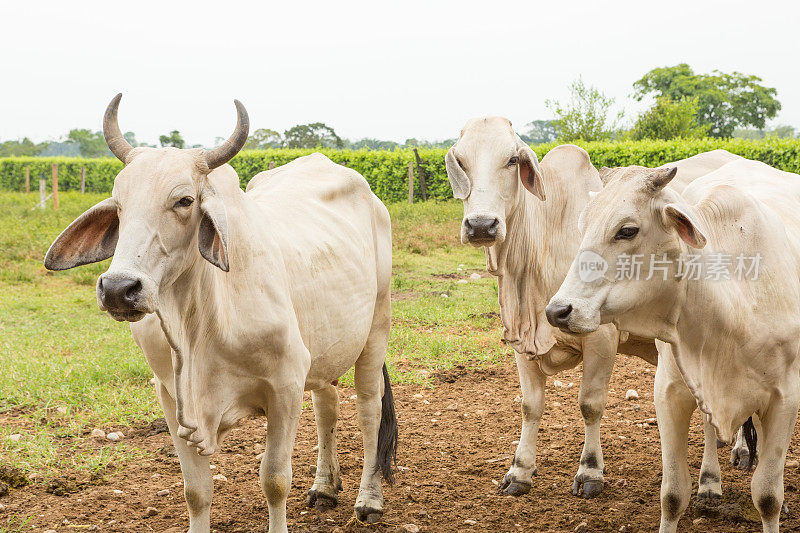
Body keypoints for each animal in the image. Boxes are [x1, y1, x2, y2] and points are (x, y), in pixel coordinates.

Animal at [44, 95, 396, 532]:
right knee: (326, 403)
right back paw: (325, 488)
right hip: (325, 344)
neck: (199, 326)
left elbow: (274, 480)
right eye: (120, 205)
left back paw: (369, 499)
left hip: (376, 328)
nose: (118, 289)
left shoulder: (285, 383)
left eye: (184, 200)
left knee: (368, 409)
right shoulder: (171, 395)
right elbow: (196, 491)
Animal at [444, 115, 744, 498]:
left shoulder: (601, 335)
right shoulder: (522, 341)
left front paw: (589, 471)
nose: (481, 225)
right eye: (461, 160)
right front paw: (519, 471)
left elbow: (590, 404)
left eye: (512, 160)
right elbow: (530, 406)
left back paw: (712, 478)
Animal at [548, 161, 800, 532]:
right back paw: (711, 481)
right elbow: (672, 494)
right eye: (584, 225)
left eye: (627, 230)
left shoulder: (785, 399)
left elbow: (768, 496)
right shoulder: (670, 394)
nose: (558, 311)